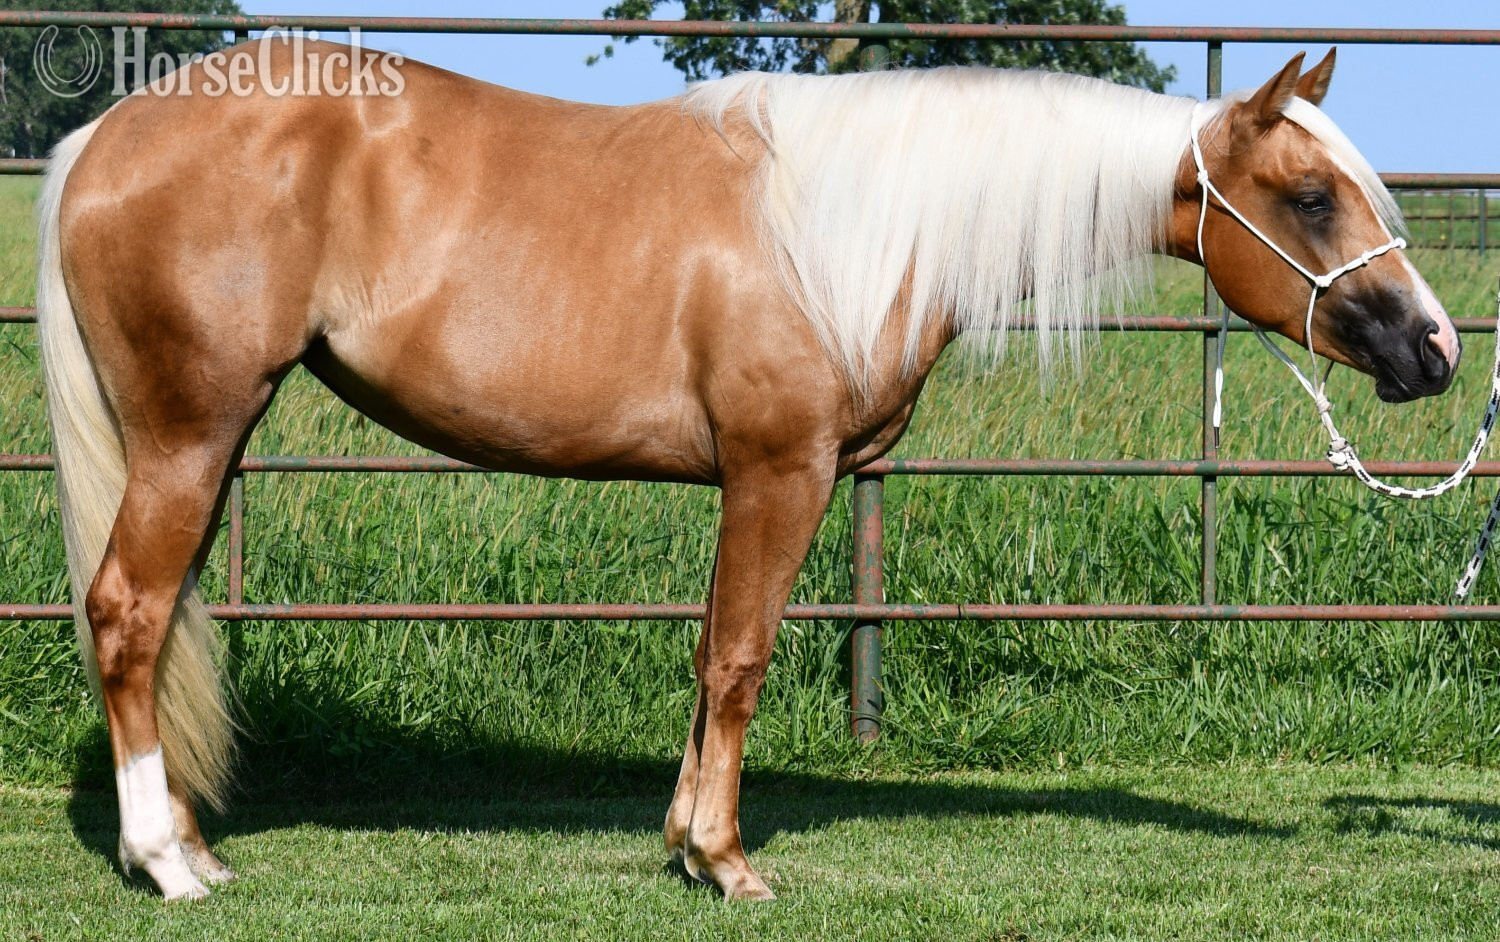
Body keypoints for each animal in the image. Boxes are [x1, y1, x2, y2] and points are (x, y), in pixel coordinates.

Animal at [36, 38, 1459, 901]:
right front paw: (726, 863)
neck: (852, 228)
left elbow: (709, 651)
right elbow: (740, 658)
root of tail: (101, 137)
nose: (1436, 349)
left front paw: (683, 840)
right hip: (190, 435)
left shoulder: (755, 483)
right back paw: (167, 862)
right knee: (128, 614)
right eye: (1312, 199)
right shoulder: (785, 471)